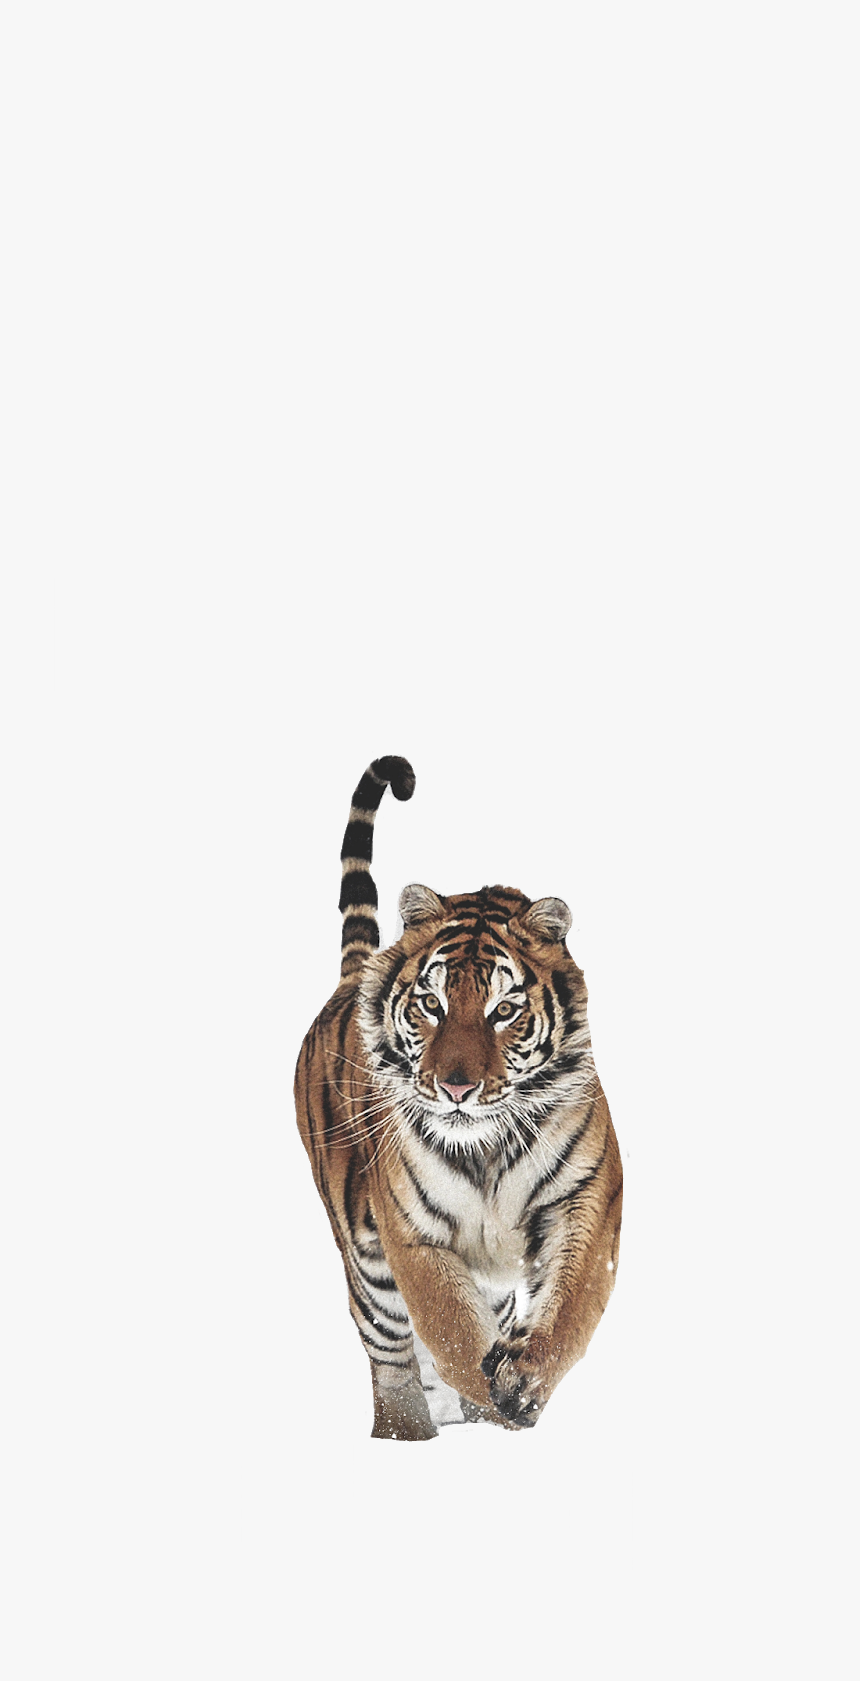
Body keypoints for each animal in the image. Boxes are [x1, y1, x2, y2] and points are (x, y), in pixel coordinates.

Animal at [294, 755, 622, 1440]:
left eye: (504, 1011)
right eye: (431, 1003)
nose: (456, 1088)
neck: (487, 1148)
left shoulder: (586, 1200)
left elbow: (571, 1306)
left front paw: (523, 1384)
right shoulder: (411, 1234)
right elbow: (450, 1328)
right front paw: (495, 1394)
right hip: (365, 1262)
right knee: (393, 1358)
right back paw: (409, 1433)